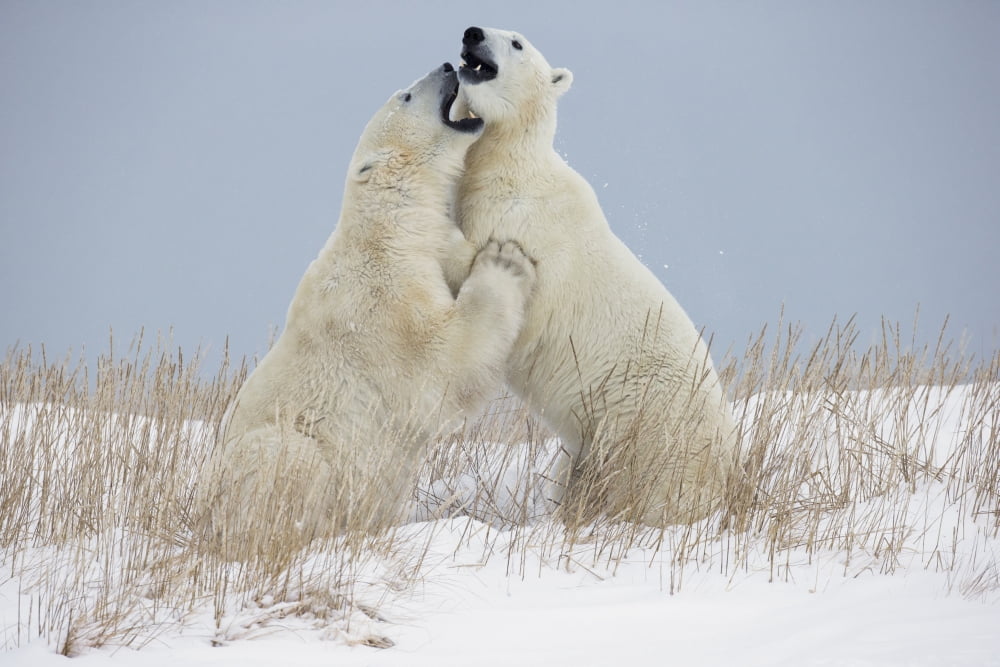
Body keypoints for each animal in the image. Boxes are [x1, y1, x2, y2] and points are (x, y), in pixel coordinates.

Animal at [196, 62, 536, 564]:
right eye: (406, 96)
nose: (447, 65)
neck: (388, 229)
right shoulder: (381, 300)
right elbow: (441, 367)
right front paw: (505, 259)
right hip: (267, 457)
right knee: (289, 457)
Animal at [452, 27, 739, 527]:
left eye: (517, 43)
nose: (472, 33)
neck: (511, 165)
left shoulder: (521, 222)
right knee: (574, 472)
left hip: (648, 423)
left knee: (647, 484)